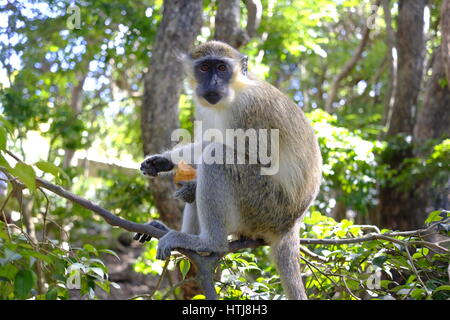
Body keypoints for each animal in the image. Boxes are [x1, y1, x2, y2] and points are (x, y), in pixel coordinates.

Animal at [135, 40, 322, 300]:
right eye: (205, 67)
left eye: (222, 68)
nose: (213, 82)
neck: (233, 94)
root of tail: (291, 224)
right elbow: (207, 141)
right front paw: (163, 161)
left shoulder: (249, 109)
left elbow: (254, 158)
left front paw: (187, 183)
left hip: (264, 206)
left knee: (217, 157)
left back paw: (209, 243)